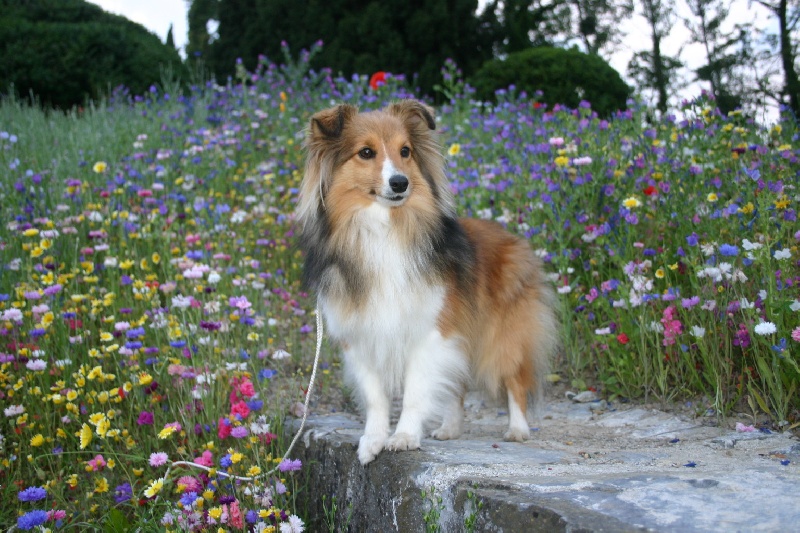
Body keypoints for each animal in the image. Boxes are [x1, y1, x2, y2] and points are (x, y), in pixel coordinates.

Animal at [298, 101, 556, 466]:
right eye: (366, 152)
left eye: (405, 151)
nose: (400, 183)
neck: (384, 230)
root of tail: (512, 236)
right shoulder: (359, 337)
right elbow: (376, 396)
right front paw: (372, 440)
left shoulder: (431, 332)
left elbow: (415, 392)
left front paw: (404, 436)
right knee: (456, 385)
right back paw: (450, 428)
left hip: (504, 338)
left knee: (513, 381)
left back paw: (517, 429)